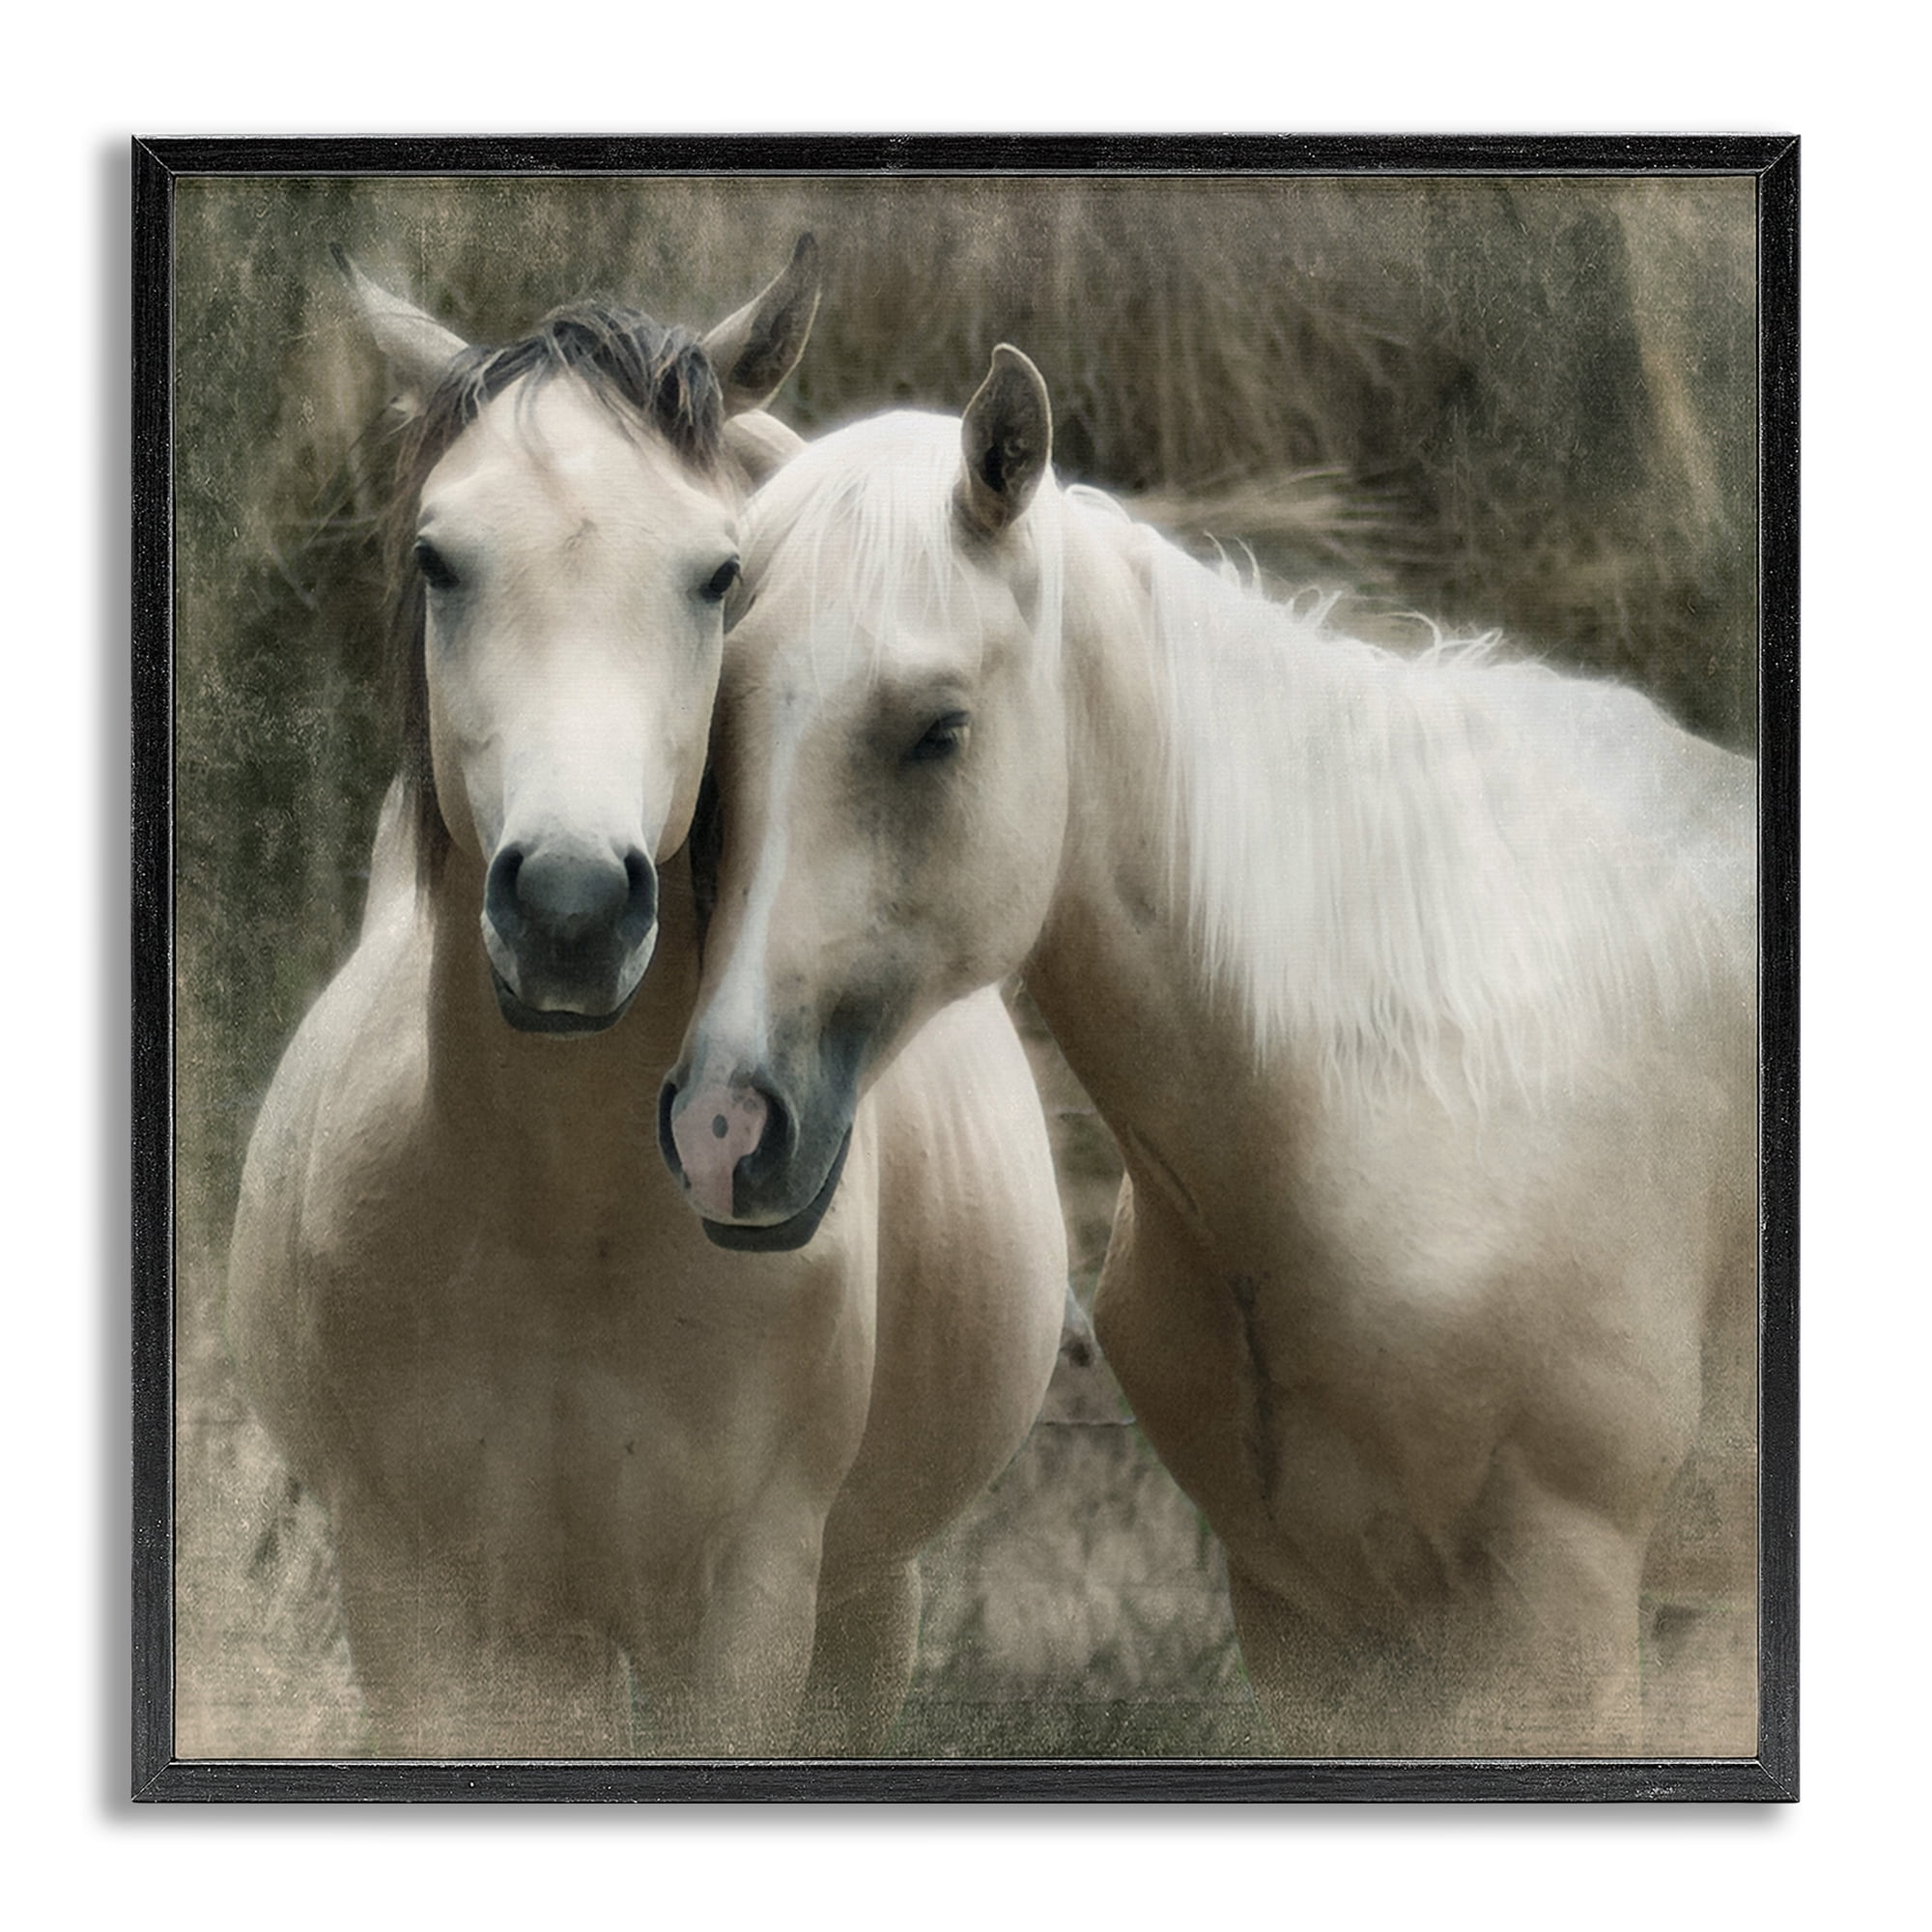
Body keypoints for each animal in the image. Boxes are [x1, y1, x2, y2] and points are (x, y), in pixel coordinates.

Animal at [224, 264, 1067, 1759]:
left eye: (717, 573)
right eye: (437, 559)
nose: (569, 905)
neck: (567, 1231)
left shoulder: (741, 1618)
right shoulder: (423, 1610)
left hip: (866, 1598)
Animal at [659, 346, 1759, 1757]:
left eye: (938, 728)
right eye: (716, 734)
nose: (722, 1129)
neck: (1417, 1087)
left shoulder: (1555, 1623)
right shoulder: (1311, 1629)